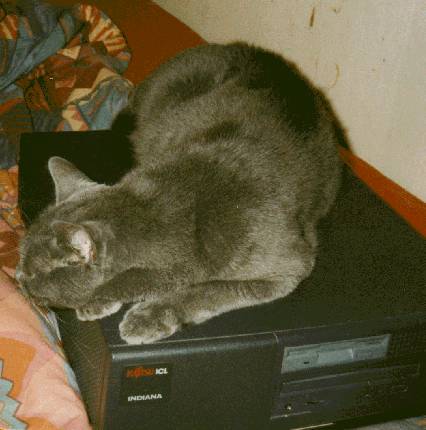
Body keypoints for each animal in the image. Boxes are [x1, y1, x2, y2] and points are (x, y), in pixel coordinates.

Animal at [16, 42, 345, 344]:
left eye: (32, 272)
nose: (17, 278)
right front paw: (99, 302)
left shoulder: (288, 265)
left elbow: (211, 289)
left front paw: (149, 316)